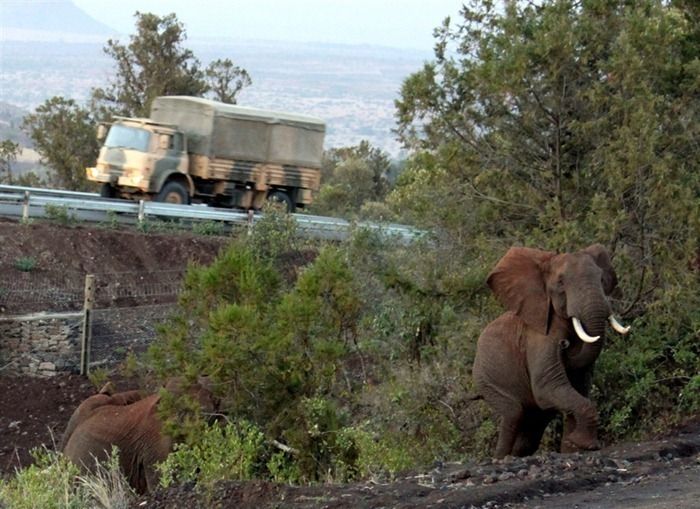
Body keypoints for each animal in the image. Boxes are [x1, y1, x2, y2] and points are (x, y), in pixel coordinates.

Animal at [474, 244, 632, 458]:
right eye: (561, 282)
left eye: (602, 279)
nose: (564, 344)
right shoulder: (539, 338)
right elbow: (547, 385)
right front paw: (584, 444)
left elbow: (578, 387)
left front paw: (577, 447)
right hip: (488, 379)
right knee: (513, 412)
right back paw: (501, 458)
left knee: (532, 427)